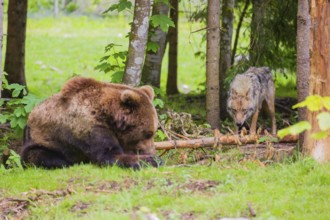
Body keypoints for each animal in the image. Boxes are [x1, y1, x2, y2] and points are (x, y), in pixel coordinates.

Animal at [21, 76, 160, 169]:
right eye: (148, 133)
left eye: (154, 131)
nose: (152, 151)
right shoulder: (88, 127)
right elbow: (109, 155)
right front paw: (152, 160)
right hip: (43, 141)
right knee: (38, 155)